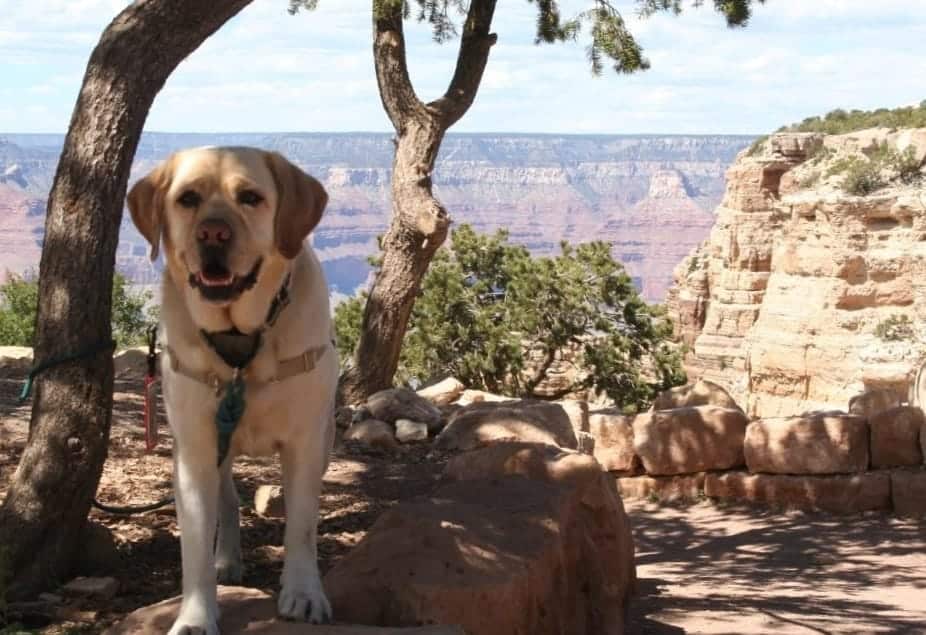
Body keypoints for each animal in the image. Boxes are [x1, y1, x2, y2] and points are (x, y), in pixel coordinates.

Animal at [127, 147, 338, 632]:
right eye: (187, 198)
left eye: (251, 197)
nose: (213, 232)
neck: (242, 342)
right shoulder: (194, 451)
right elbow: (195, 548)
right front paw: (195, 616)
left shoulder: (305, 443)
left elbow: (301, 526)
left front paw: (303, 593)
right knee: (226, 501)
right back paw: (227, 559)